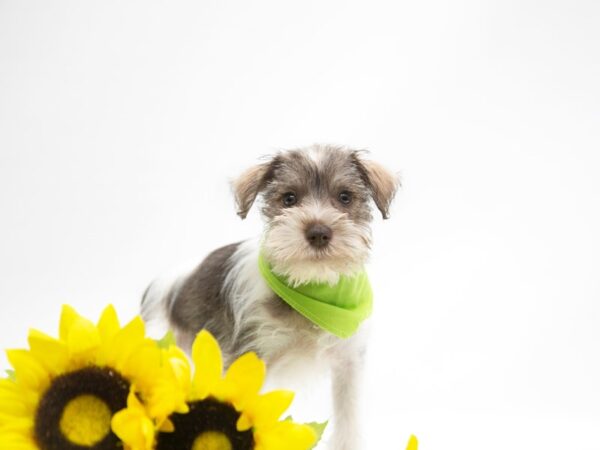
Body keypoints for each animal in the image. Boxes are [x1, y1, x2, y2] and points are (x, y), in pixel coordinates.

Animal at [141, 145, 398, 450]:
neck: (311, 287)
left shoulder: (348, 362)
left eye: (345, 197)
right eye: (289, 198)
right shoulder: (251, 359)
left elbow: (348, 421)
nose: (318, 233)